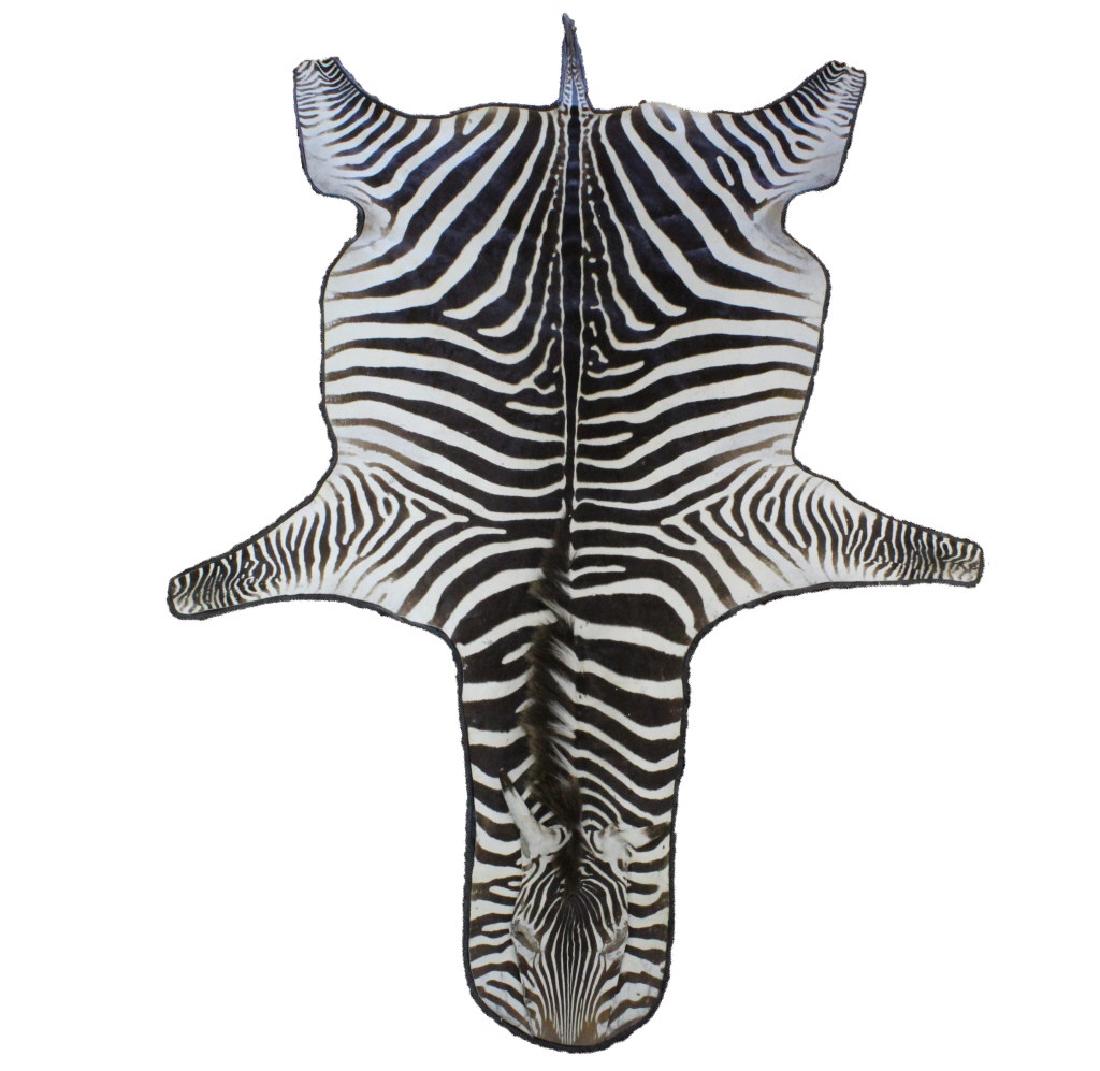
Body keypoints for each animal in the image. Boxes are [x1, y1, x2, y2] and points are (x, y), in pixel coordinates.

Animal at [169, 16, 983, 1050]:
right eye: (518, 953)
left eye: (625, 952)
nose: (571, 1043)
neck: (562, 609)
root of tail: (573, 119)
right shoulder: (382, 517)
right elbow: (235, 573)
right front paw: (188, 591)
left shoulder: (754, 513)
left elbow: (902, 545)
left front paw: (965, 559)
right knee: (329, 98)